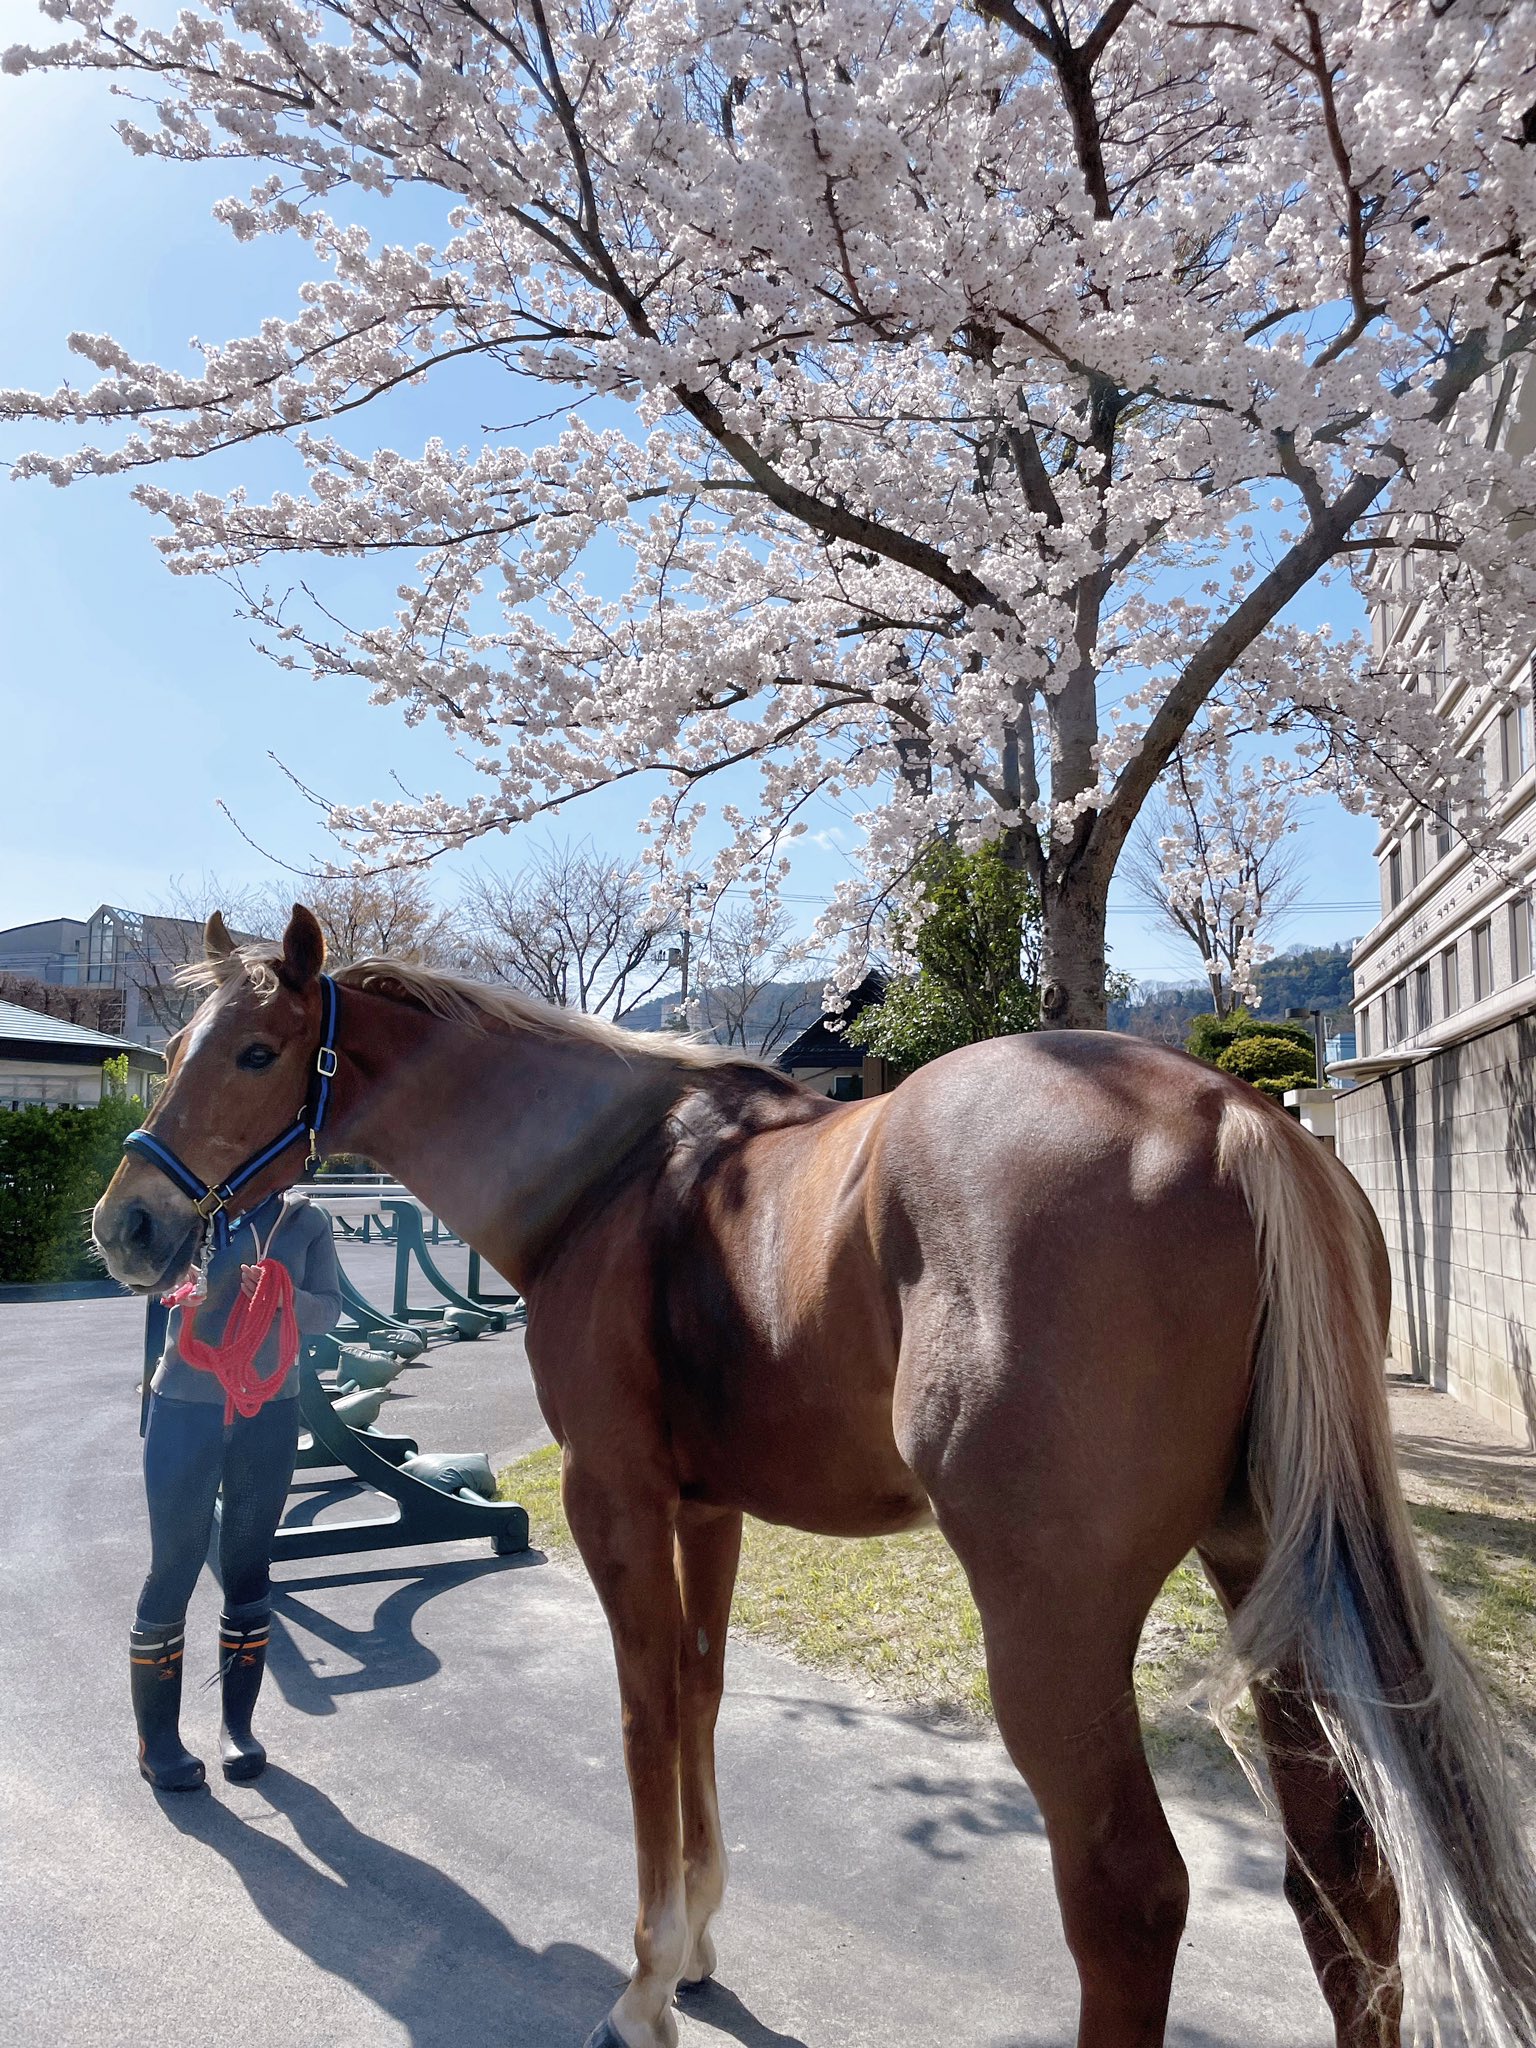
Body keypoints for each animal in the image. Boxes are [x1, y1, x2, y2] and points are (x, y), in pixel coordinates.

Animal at [93, 906, 1536, 2048]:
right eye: (175, 1050)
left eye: (258, 1051)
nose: (127, 1224)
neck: (615, 1178)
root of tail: (1234, 1116)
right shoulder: (712, 1508)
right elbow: (699, 1695)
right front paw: (698, 1949)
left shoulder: (615, 1502)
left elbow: (644, 1716)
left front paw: (644, 1987)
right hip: (1262, 1575)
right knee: (1343, 1872)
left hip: (1052, 1620)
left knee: (1128, 1894)